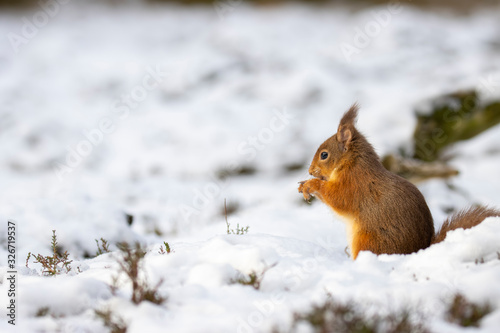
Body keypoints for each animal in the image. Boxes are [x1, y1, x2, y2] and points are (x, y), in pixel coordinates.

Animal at [298, 104, 498, 260]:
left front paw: (310, 185)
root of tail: (418, 251)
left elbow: (337, 198)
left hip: (369, 241)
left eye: (324, 155)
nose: (310, 171)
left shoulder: (354, 184)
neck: (351, 163)